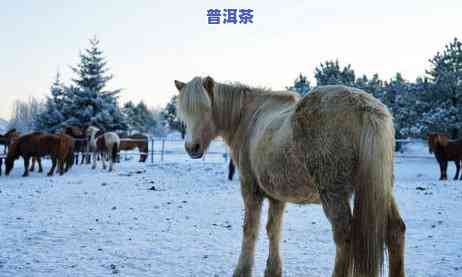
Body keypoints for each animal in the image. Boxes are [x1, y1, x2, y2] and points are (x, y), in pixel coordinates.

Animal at [175, 76, 406, 276]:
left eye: (205, 109)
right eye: (185, 113)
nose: (192, 147)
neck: (248, 118)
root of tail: (364, 107)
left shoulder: (250, 189)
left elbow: (250, 229)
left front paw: (242, 271)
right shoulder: (277, 196)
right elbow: (273, 230)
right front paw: (272, 270)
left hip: (333, 194)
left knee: (344, 236)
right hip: (380, 190)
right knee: (395, 231)